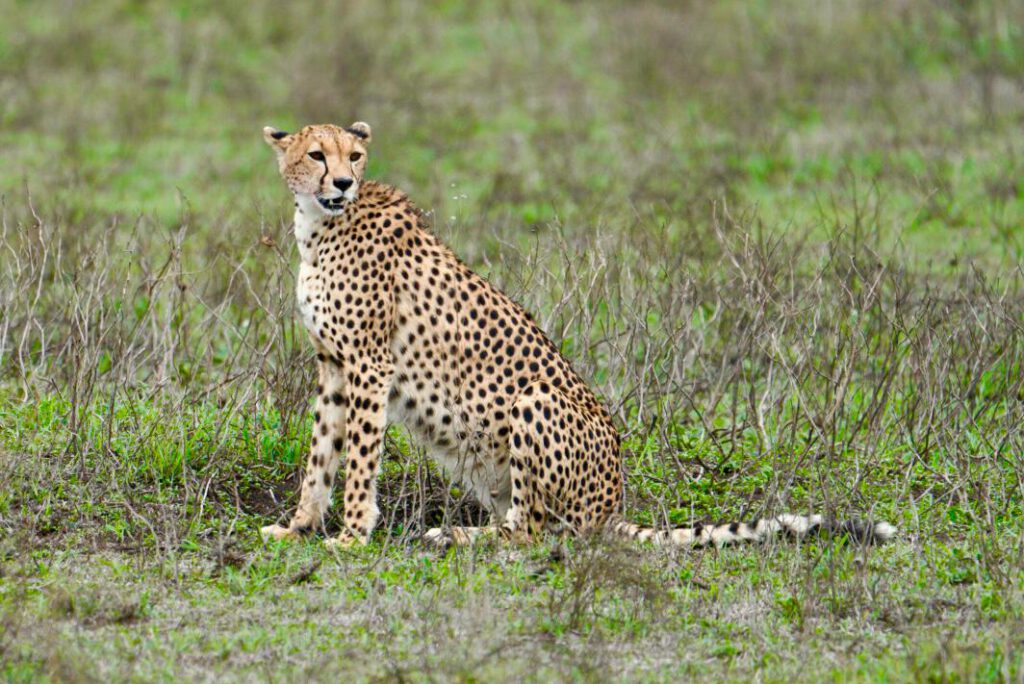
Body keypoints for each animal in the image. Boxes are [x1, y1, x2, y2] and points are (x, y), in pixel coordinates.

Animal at [258, 122, 896, 549]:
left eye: (355, 154)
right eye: (316, 153)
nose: (343, 181)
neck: (321, 224)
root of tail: (612, 501)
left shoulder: (369, 364)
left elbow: (359, 458)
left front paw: (351, 535)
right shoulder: (333, 364)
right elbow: (321, 455)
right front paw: (298, 526)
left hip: (535, 399)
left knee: (531, 533)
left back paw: (458, 538)